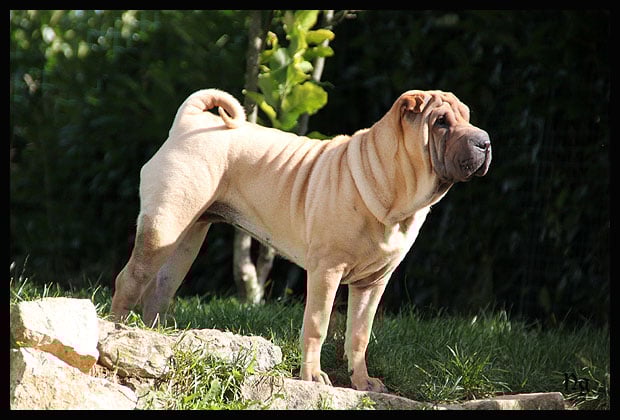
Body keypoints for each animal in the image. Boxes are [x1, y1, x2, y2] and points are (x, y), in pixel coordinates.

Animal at [110, 88, 491, 392]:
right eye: (441, 122)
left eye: (467, 117)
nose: (485, 141)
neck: (391, 180)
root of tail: (189, 121)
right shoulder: (327, 271)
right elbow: (317, 324)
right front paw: (314, 377)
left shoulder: (372, 283)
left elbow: (359, 334)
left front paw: (362, 382)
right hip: (165, 222)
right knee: (130, 279)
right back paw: (118, 334)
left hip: (188, 236)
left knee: (160, 287)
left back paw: (155, 339)